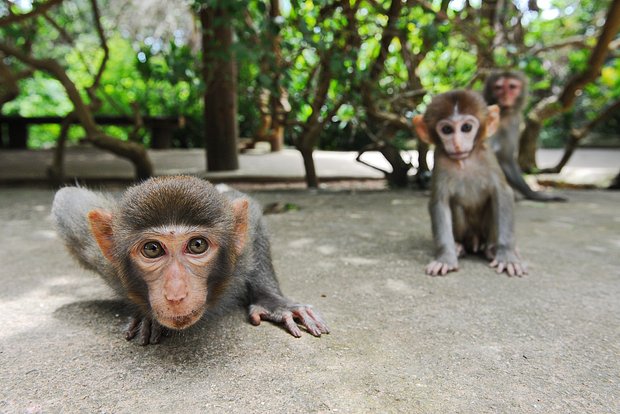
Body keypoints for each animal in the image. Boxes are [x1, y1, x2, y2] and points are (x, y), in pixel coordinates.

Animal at [52, 176, 330, 344]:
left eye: (197, 245)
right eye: (152, 249)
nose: (176, 294)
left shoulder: (240, 252)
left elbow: (250, 210)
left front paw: (273, 302)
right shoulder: (101, 256)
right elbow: (66, 199)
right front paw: (147, 316)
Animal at [414, 89, 524, 276]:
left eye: (466, 127)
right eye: (447, 129)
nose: (457, 145)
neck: (464, 161)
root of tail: (475, 240)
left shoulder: (488, 157)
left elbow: (503, 194)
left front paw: (507, 255)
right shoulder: (440, 161)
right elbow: (440, 202)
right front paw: (445, 258)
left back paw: (491, 249)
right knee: (457, 207)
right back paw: (459, 246)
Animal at [484, 71, 568, 202]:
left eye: (512, 86)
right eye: (498, 87)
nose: (505, 96)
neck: (503, 114)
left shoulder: (514, 121)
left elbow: (505, 158)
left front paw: (534, 194)